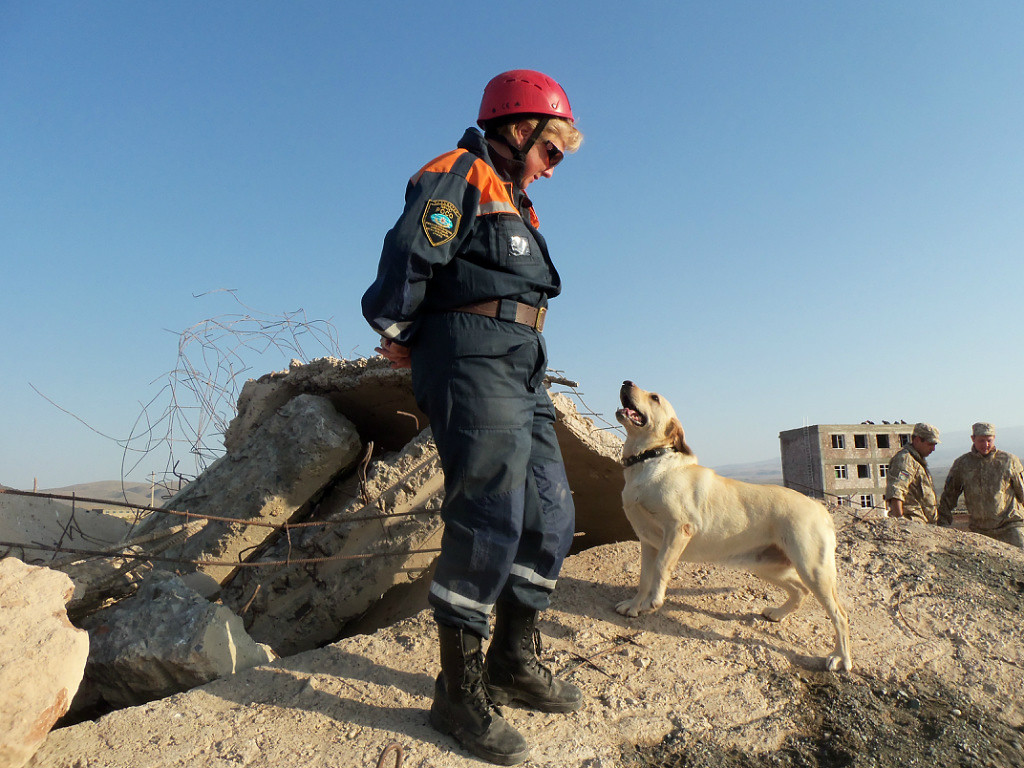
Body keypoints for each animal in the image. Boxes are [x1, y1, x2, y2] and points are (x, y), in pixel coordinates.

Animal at [614, 382, 847, 671]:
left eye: (654, 397)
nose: (626, 382)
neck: (648, 462)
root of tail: (820, 509)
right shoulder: (648, 542)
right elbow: (644, 577)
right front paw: (634, 605)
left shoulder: (679, 530)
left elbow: (660, 569)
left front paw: (653, 601)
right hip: (767, 566)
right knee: (799, 591)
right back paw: (777, 613)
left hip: (813, 569)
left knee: (840, 615)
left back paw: (840, 657)